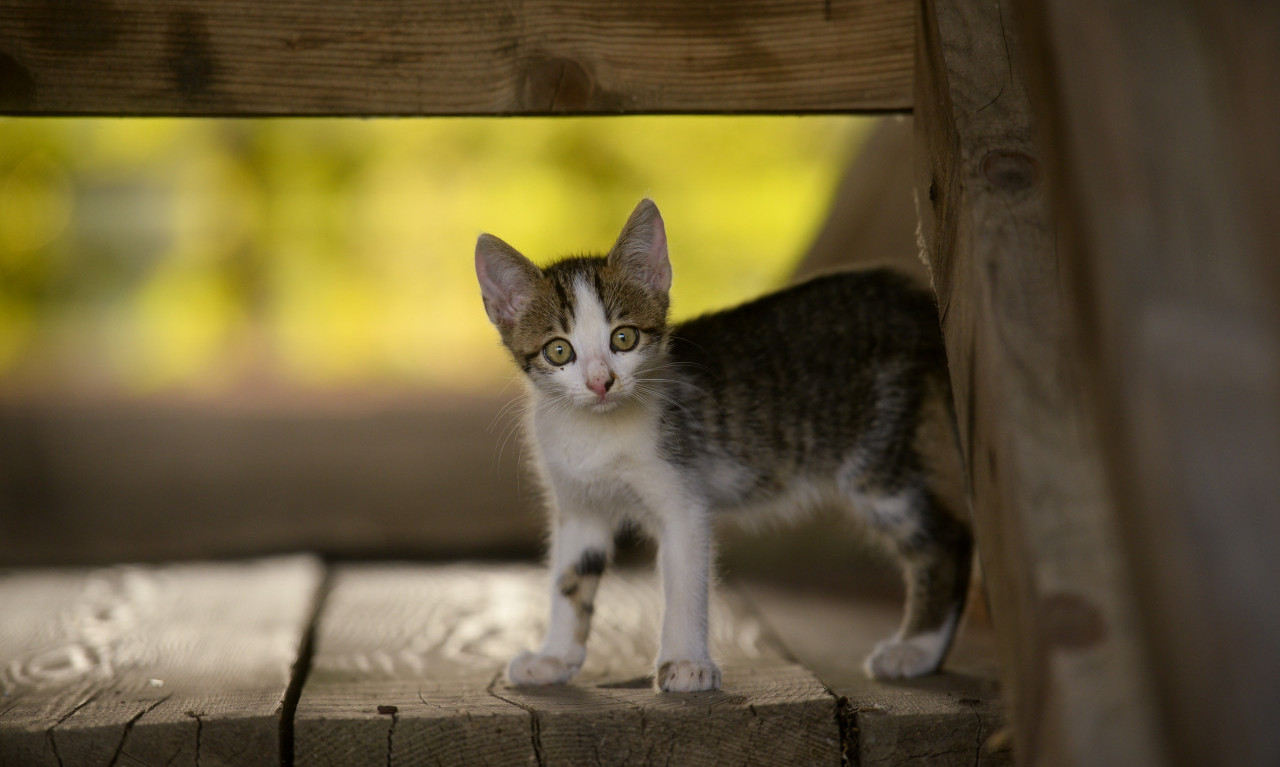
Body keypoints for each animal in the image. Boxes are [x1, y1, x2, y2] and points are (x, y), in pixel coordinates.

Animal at [473, 201, 967, 691]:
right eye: (559, 351)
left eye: (624, 338)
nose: (600, 382)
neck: (595, 432)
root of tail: (898, 291)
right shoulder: (578, 508)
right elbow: (570, 580)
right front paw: (554, 658)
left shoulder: (684, 498)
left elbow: (684, 585)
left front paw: (686, 664)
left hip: (874, 457)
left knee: (948, 538)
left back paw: (916, 649)